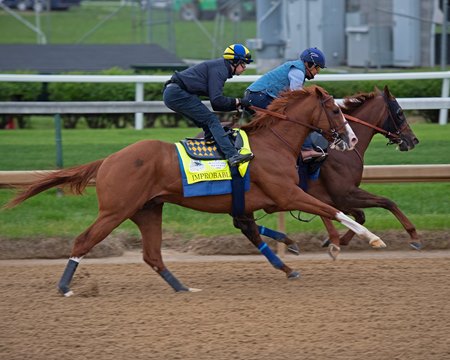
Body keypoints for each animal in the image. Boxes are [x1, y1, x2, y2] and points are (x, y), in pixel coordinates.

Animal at [6, 86, 384, 296]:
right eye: (334, 109)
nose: (351, 139)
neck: (274, 143)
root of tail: (108, 160)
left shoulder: (263, 201)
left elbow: (295, 219)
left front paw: (297, 253)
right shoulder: (287, 194)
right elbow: (334, 210)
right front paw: (370, 238)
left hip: (148, 210)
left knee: (153, 255)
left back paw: (183, 287)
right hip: (115, 210)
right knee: (84, 241)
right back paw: (65, 287)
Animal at [243, 86, 418, 260]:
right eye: (400, 113)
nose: (413, 140)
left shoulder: (336, 199)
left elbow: (359, 215)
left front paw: (336, 241)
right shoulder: (343, 194)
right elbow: (387, 202)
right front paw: (414, 236)